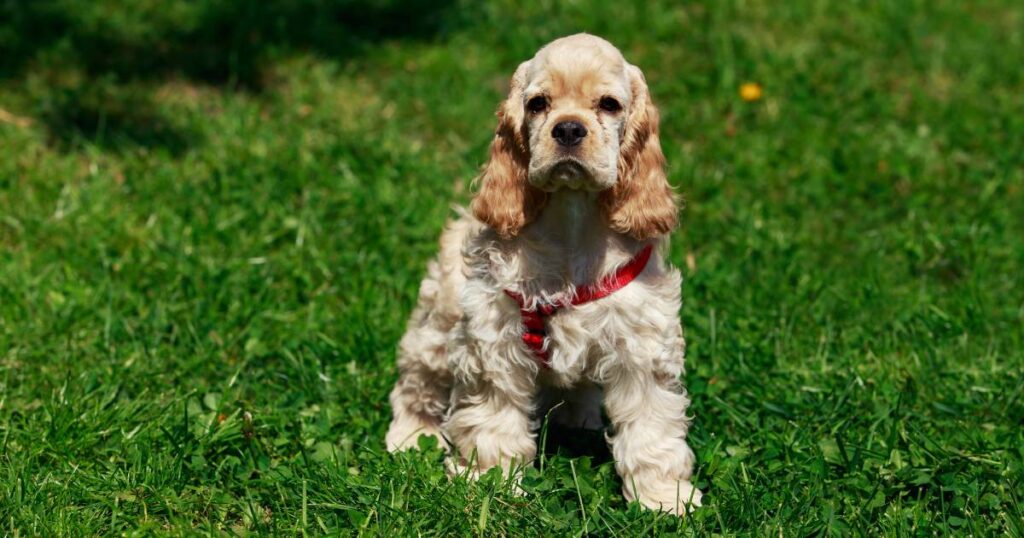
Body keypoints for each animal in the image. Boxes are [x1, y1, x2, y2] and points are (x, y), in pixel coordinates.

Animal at [385, 32, 704, 512]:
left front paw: (665, 499)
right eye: (537, 104)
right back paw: (411, 435)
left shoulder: (641, 344)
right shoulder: (493, 342)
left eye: (609, 104)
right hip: (438, 325)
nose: (568, 129)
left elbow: (652, 428)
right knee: (418, 380)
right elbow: (492, 420)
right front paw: (491, 483)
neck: (571, 224)